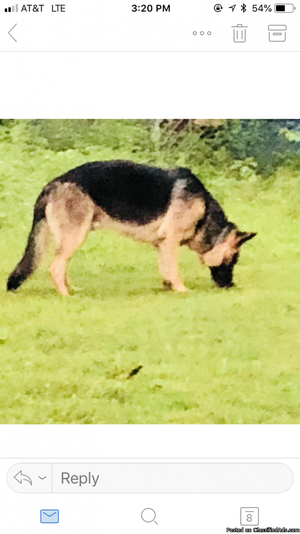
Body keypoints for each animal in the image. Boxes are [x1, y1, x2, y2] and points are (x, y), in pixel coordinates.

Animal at [7, 162, 255, 298]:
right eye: (233, 260)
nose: (231, 286)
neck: (205, 214)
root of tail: (53, 183)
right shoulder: (171, 240)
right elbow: (174, 269)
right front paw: (181, 289)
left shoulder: (161, 243)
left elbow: (165, 268)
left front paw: (168, 287)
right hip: (75, 236)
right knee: (55, 267)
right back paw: (65, 295)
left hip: (74, 236)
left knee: (61, 264)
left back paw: (72, 289)